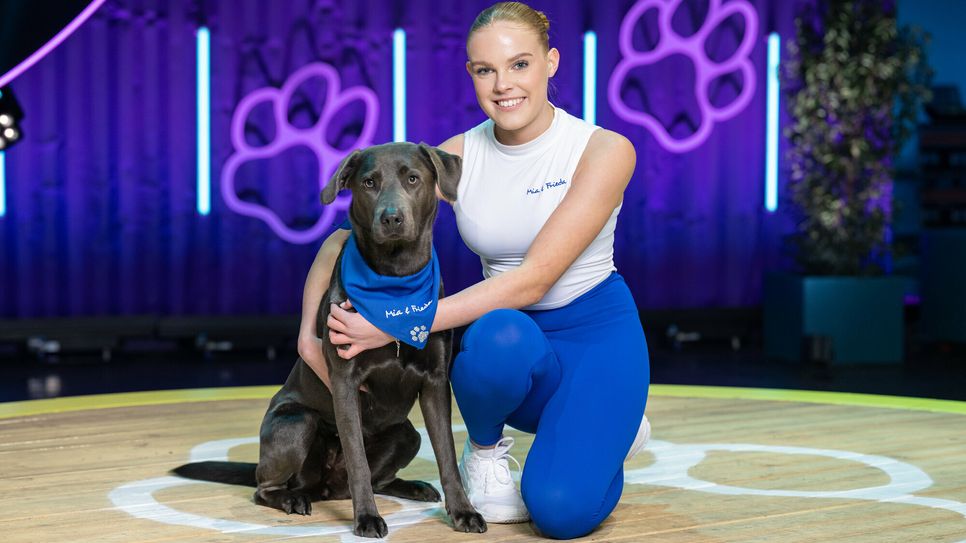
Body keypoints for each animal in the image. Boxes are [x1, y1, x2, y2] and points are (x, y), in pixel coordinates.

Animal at [171, 141, 488, 540]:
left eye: (413, 179)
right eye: (369, 182)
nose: (391, 218)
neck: (395, 283)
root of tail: (324, 487)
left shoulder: (435, 383)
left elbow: (446, 453)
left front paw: (463, 511)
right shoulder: (345, 383)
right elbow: (357, 460)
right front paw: (366, 518)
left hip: (406, 434)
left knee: (381, 477)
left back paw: (411, 486)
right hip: (297, 423)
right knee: (265, 487)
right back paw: (291, 499)